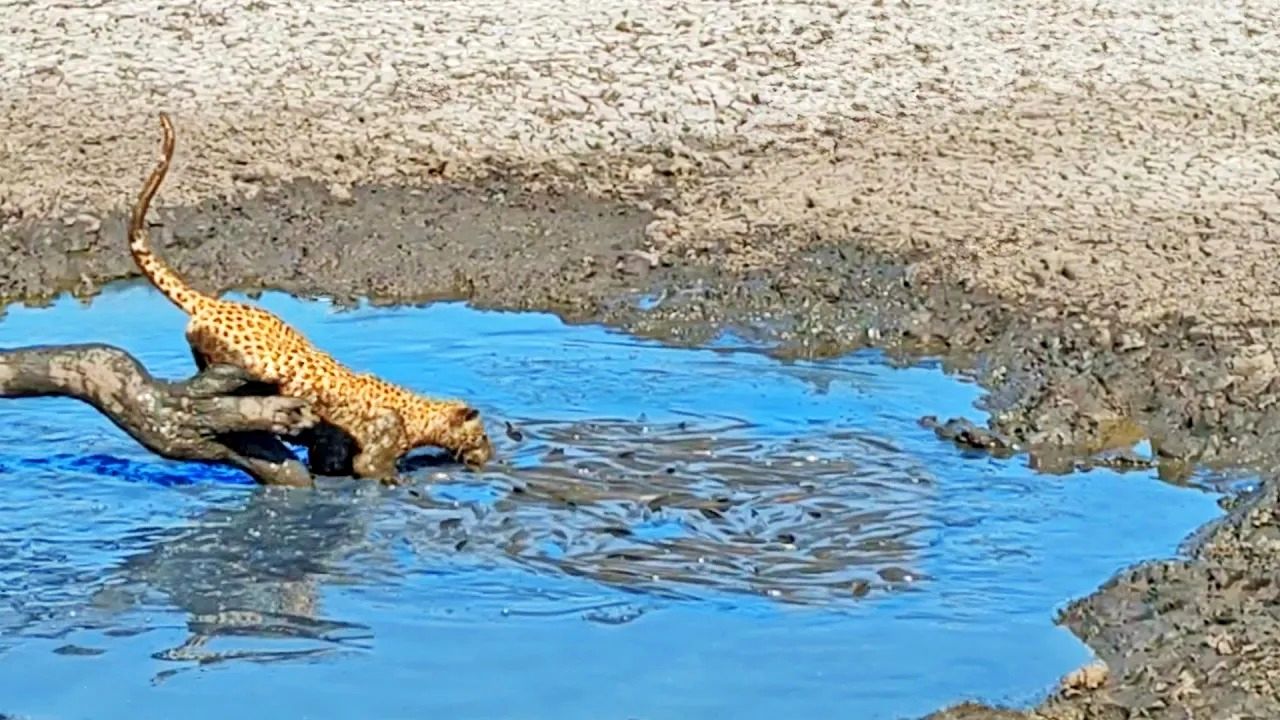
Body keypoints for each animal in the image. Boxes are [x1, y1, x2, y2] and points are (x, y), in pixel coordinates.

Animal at [126, 112, 494, 479]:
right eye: (482, 434)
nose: (488, 454)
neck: (420, 412)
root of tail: (215, 302)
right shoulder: (374, 448)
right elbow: (374, 469)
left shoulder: (332, 444)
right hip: (249, 361)